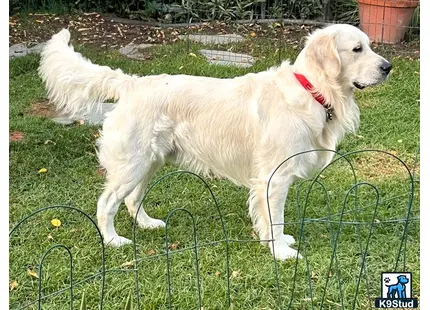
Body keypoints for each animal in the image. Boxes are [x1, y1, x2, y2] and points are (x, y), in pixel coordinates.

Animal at [38, 24, 392, 260]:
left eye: (369, 45)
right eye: (357, 49)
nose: (388, 67)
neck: (311, 89)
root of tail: (132, 83)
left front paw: (279, 242)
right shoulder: (275, 177)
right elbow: (275, 218)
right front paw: (280, 251)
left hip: (150, 161)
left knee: (132, 200)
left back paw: (149, 224)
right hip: (133, 162)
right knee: (107, 204)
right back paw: (113, 241)